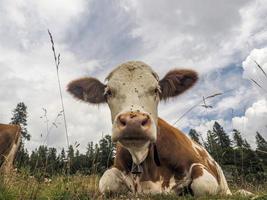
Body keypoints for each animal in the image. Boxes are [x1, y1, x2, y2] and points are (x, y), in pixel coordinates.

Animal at [67, 61, 232, 197]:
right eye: (108, 92)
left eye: (156, 90)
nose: (133, 122)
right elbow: (106, 182)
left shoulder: (198, 165)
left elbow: (204, 185)